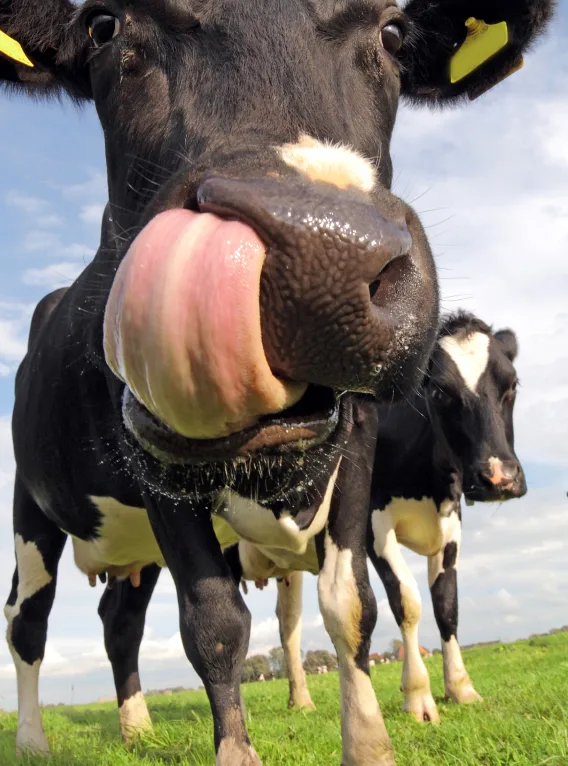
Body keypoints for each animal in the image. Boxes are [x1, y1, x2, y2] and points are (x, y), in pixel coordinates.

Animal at [226, 311, 526, 718]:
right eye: (438, 392)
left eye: (512, 385)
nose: (500, 478)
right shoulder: (373, 528)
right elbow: (407, 602)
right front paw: (418, 696)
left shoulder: (450, 527)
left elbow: (447, 605)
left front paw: (461, 687)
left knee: (289, 625)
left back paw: (300, 700)